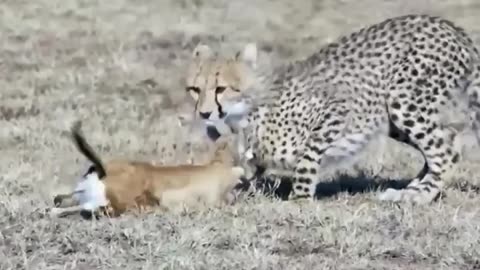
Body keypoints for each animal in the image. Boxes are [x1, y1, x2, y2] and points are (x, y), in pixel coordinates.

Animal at [183, 13, 480, 204]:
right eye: (195, 89)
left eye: (221, 89)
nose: (204, 113)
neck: (245, 116)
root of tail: (450, 26)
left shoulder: (337, 108)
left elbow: (307, 157)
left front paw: (300, 197)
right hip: (393, 118)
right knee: (444, 145)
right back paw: (411, 188)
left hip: (403, 101)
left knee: (447, 151)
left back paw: (416, 196)